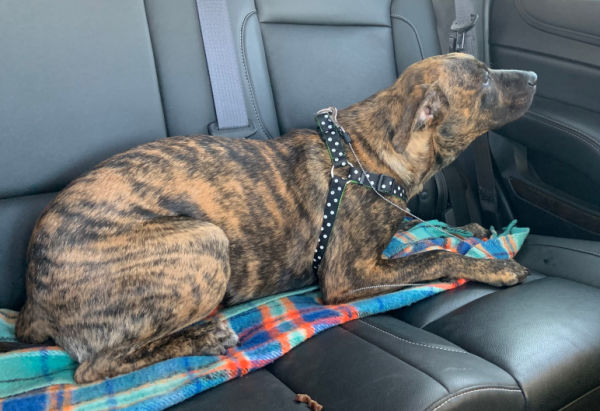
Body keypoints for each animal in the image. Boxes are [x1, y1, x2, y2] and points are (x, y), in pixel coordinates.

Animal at [16, 54, 536, 384]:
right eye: (484, 82)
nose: (533, 75)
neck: (369, 153)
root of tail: (31, 299)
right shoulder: (346, 275)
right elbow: (432, 255)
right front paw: (495, 266)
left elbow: (421, 227)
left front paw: (471, 229)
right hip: (204, 240)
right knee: (94, 367)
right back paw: (205, 336)